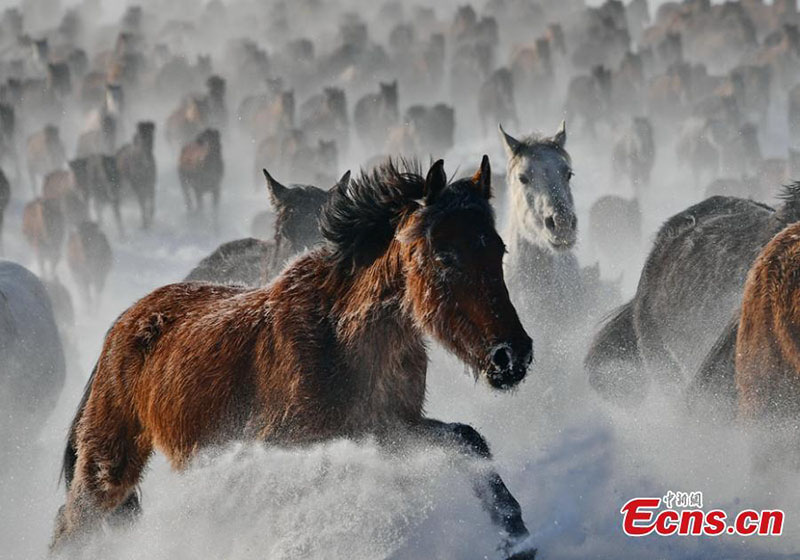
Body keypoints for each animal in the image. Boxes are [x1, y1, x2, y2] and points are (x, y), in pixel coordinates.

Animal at [52, 158, 536, 559]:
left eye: (498, 249)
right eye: (445, 256)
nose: (511, 355)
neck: (340, 338)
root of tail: (121, 327)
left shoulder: (387, 430)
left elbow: (468, 440)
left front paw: (516, 537)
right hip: (108, 466)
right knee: (70, 527)